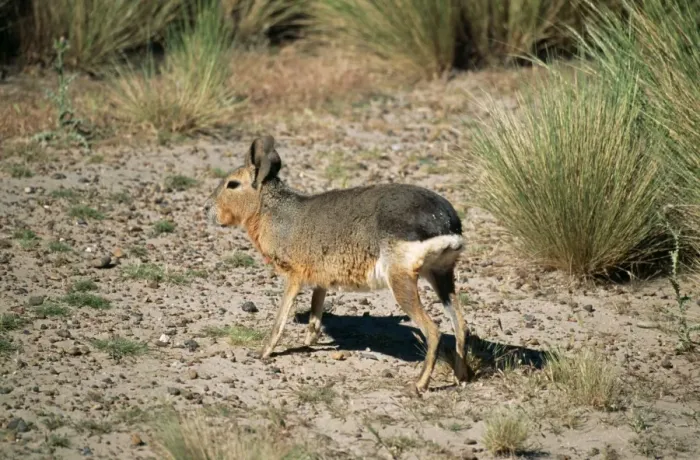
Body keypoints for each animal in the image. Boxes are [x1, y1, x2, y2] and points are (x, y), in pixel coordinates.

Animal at [204, 135, 472, 393]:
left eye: (232, 184)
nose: (206, 207)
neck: (275, 213)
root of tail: (445, 221)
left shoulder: (294, 275)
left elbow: (280, 317)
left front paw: (263, 351)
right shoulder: (320, 277)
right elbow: (316, 310)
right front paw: (309, 340)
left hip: (401, 279)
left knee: (435, 331)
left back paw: (419, 385)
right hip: (441, 275)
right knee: (461, 324)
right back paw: (461, 377)